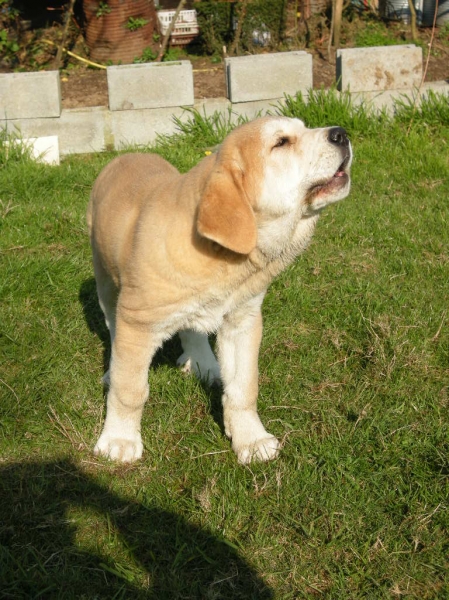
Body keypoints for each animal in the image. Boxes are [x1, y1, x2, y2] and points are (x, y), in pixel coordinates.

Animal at [87, 116, 352, 464]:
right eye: (281, 142)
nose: (342, 134)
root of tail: (127, 155)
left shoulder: (243, 321)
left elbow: (244, 388)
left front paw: (251, 439)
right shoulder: (137, 322)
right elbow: (129, 389)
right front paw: (119, 440)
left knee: (193, 331)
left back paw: (204, 363)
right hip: (105, 282)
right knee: (113, 330)